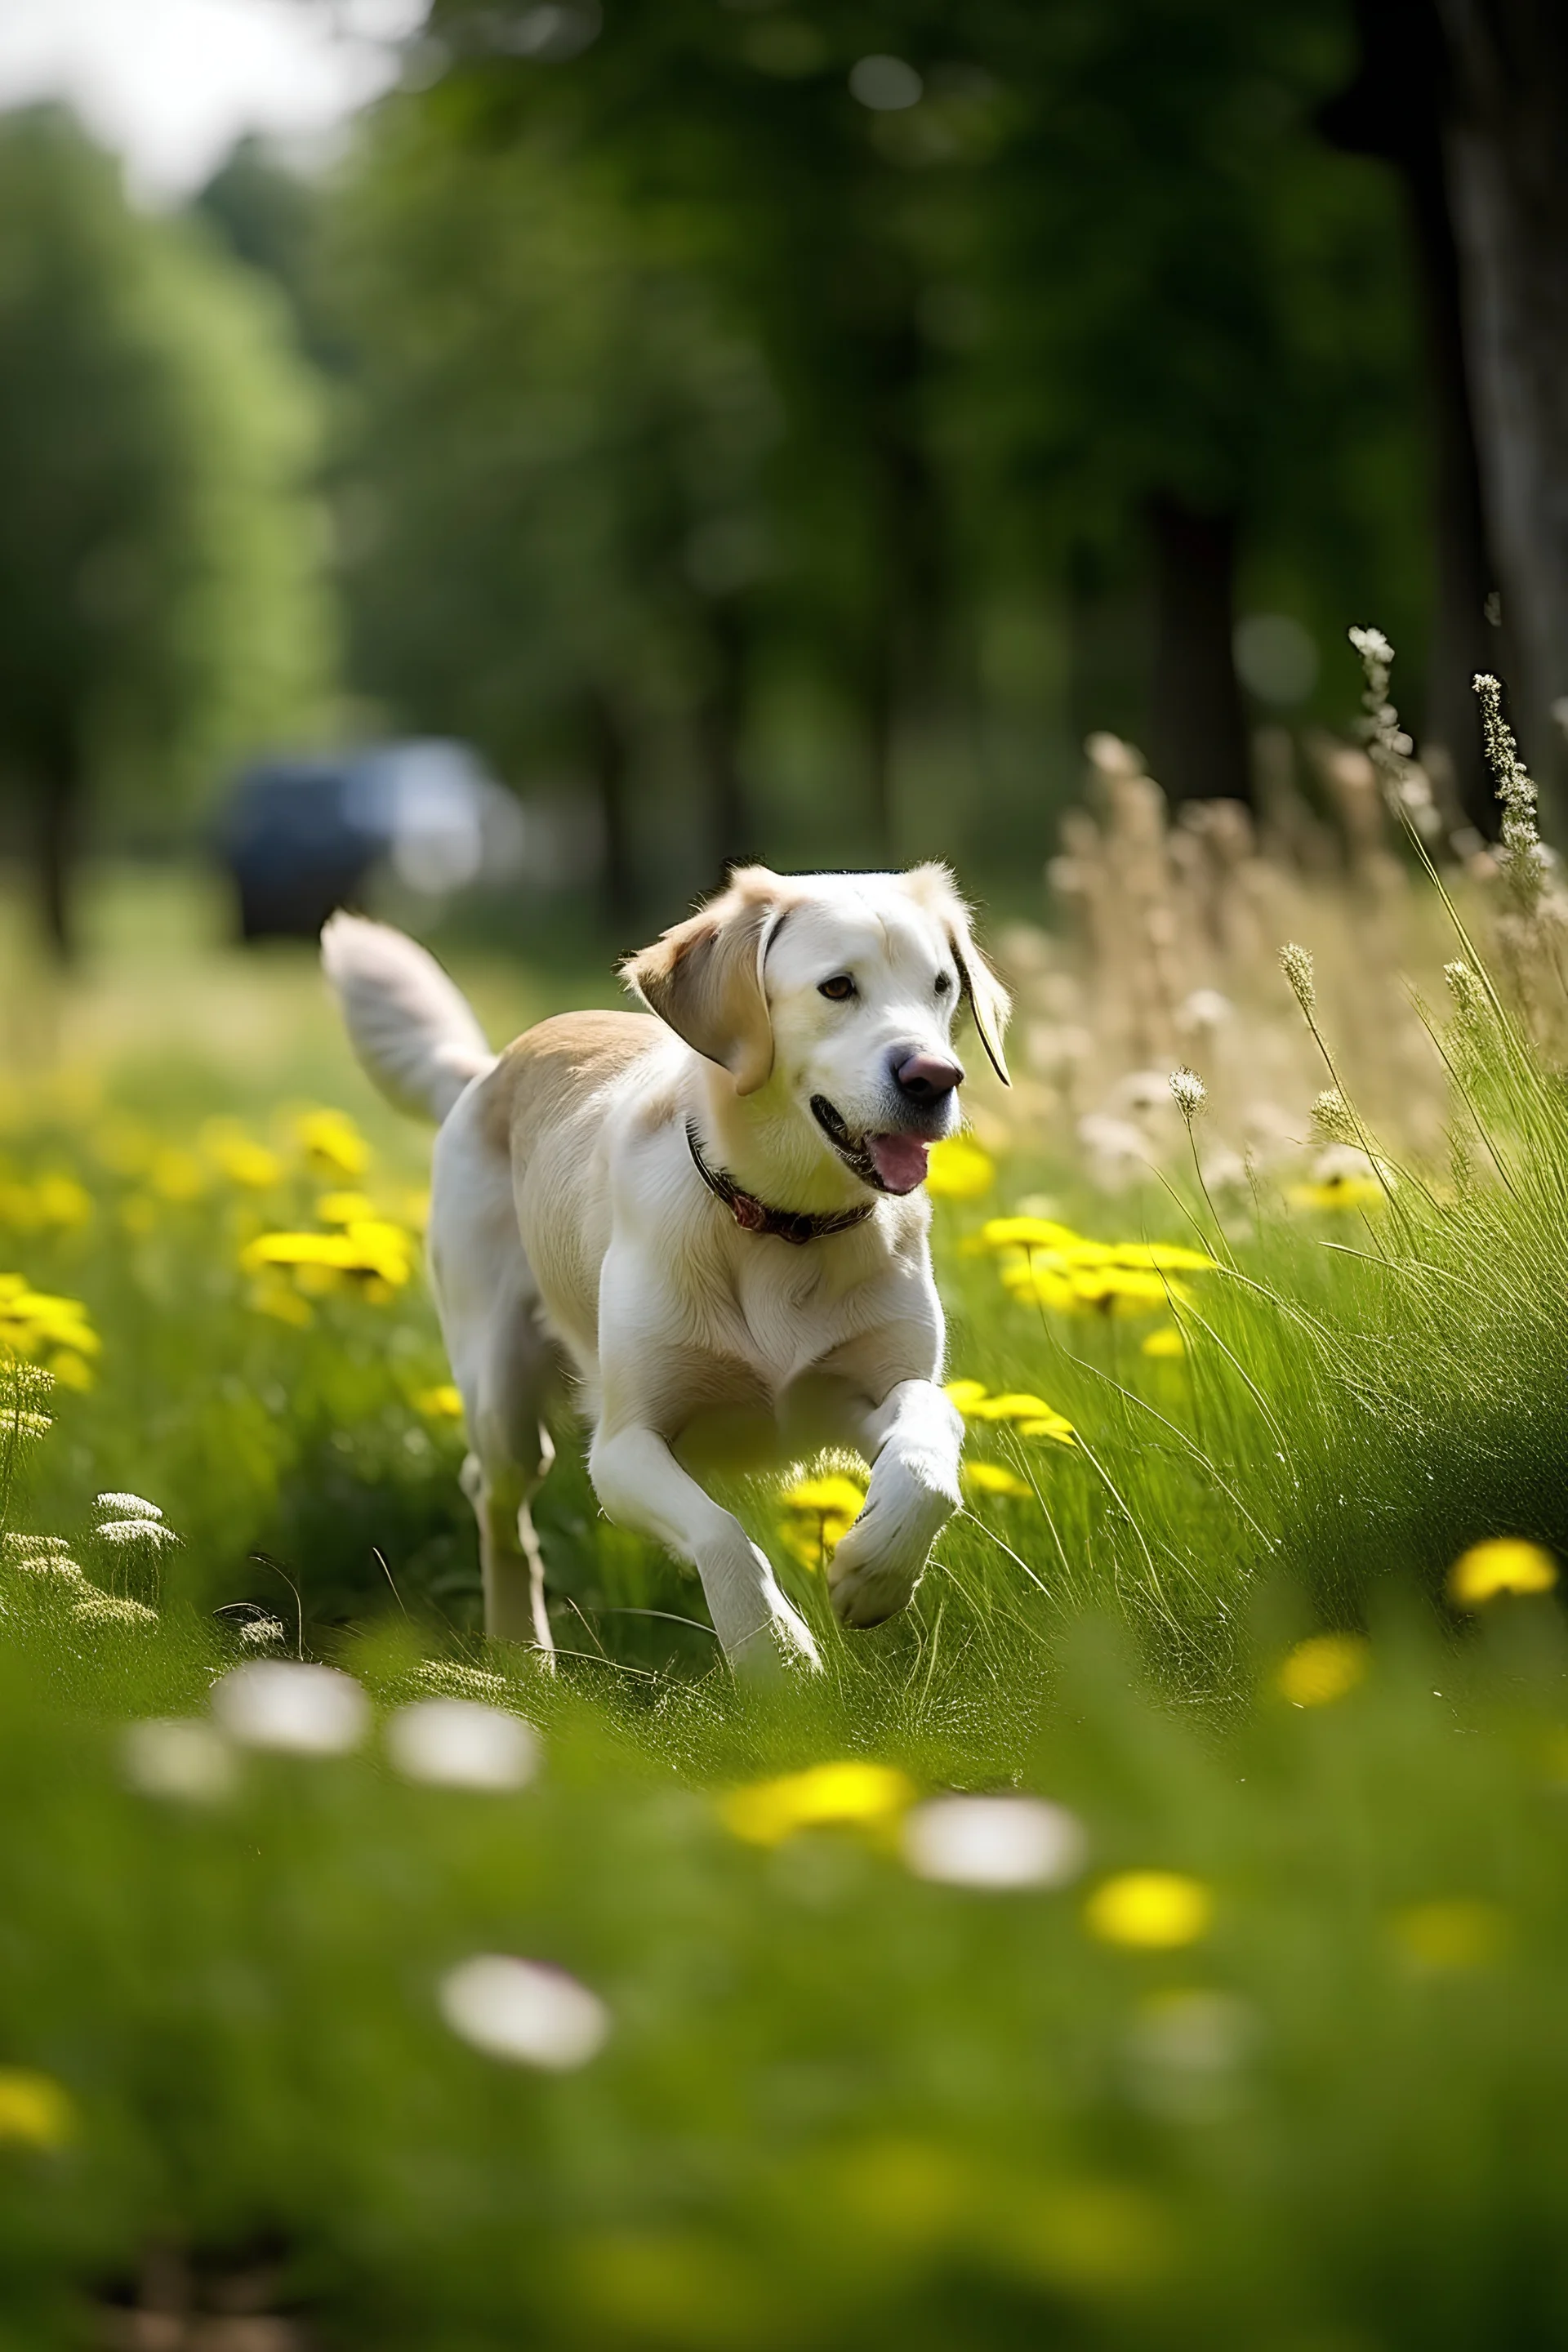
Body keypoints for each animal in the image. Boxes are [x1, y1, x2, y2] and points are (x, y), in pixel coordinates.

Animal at [324, 870, 1010, 1674]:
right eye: (838, 987)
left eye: (942, 986)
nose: (935, 1078)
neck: (783, 1225)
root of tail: (490, 1070)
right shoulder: (623, 1448)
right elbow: (722, 1536)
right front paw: (776, 1655)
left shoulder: (867, 1392)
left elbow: (930, 1447)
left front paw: (874, 1570)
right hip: (499, 1387)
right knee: (498, 1502)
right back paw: (523, 1651)